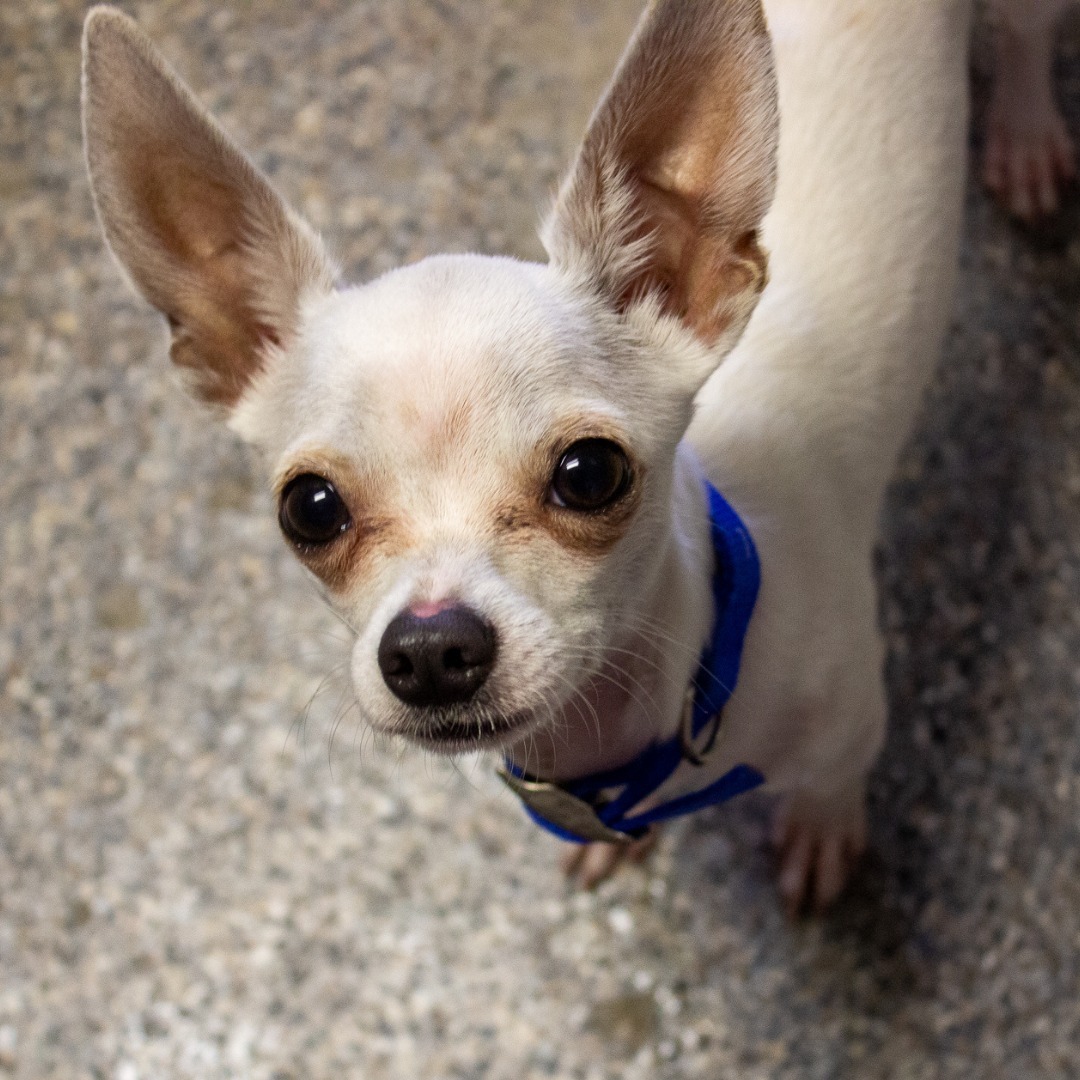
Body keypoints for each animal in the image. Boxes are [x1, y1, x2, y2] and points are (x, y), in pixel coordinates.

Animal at [78, 0, 972, 911]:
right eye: (311, 508)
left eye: (591, 473)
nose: (429, 648)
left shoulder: (852, 724)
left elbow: (833, 785)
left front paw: (824, 830)